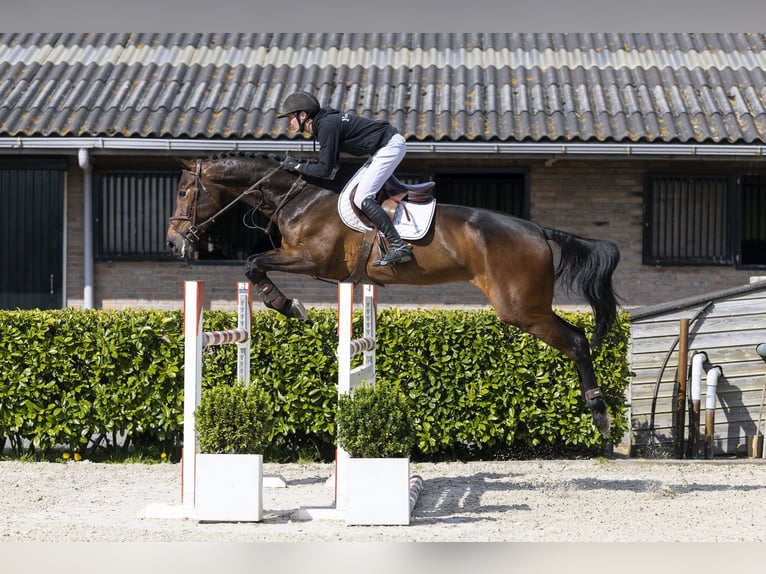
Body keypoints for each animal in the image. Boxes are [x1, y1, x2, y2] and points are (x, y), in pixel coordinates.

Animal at [167, 153, 621, 436]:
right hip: (526, 307)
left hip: (521, 309)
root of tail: (538, 230)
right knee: (579, 338)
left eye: (185, 193)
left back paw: (600, 416)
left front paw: (288, 305)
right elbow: (254, 262)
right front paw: (285, 304)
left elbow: (254, 263)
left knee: (578, 341)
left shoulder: (312, 261)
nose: (173, 242)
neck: (299, 201)